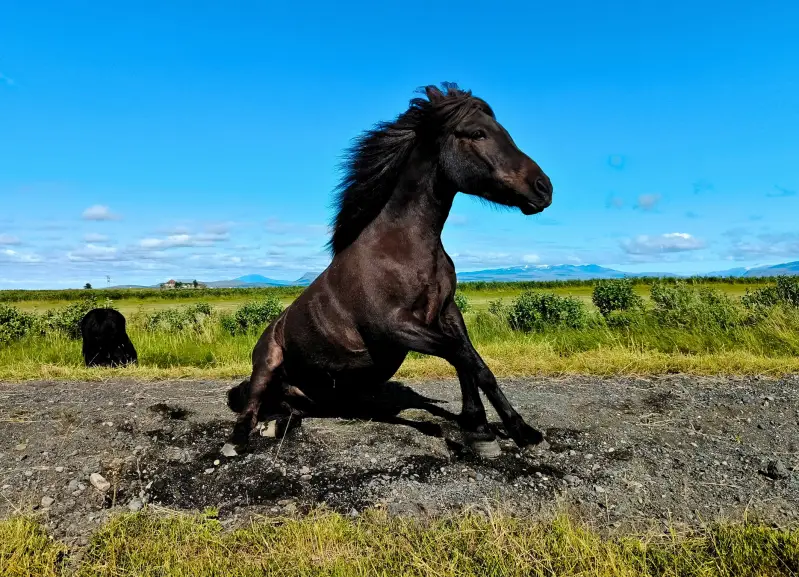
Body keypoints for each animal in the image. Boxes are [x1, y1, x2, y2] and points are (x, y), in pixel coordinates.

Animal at [223, 82, 554, 459]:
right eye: (478, 133)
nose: (544, 188)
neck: (403, 247)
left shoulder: (447, 313)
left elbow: (472, 361)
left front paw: (511, 430)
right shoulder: (394, 326)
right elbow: (466, 359)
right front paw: (483, 429)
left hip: (303, 398)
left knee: (284, 411)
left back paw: (276, 425)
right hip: (267, 361)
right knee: (250, 406)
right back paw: (237, 440)